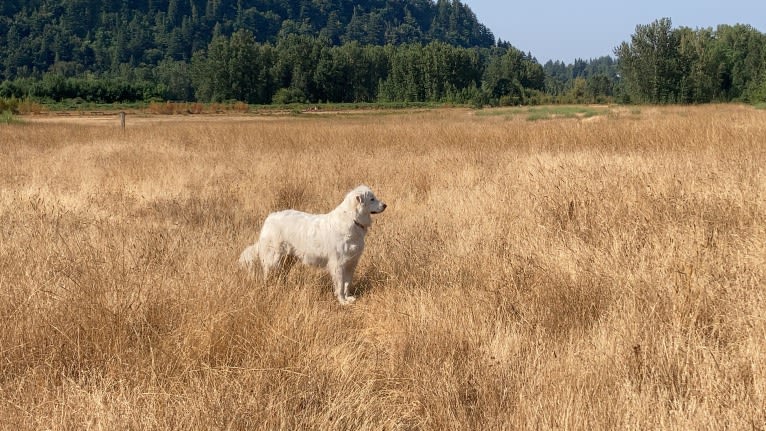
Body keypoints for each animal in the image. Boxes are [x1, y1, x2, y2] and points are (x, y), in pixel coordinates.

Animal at [240, 185, 388, 304]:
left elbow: (347, 283)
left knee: (282, 274)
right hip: (274, 258)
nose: (385, 205)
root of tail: (270, 217)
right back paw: (267, 289)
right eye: (372, 199)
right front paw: (342, 301)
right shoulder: (338, 264)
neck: (352, 219)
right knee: (267, 274)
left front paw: (348, 298)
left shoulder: (351, 263)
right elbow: (340, 285)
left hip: (288, 259)